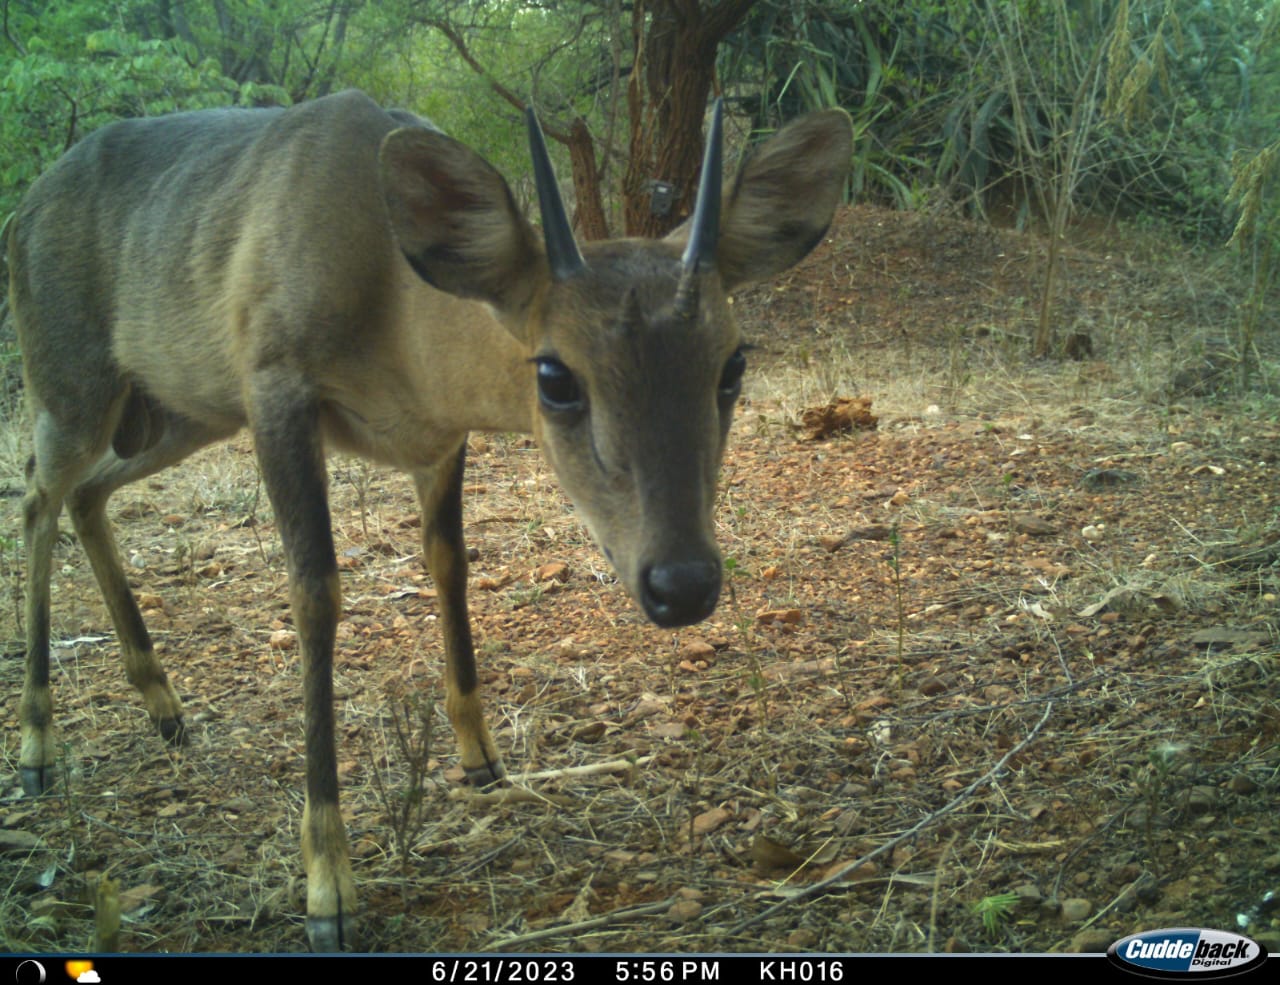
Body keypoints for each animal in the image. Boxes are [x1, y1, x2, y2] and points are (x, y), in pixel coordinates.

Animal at [10, 88, 855, 946]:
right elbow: (314, 590)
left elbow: (450, 565)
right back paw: (38, 745)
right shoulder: (274, 380)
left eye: (733, 362)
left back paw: (165, 707)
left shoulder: (436, 441)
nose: (681, 582)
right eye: (555, 375)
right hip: (73, 382)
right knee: (37, 497)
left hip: (175, 411)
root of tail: (27, 205)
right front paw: (329, 885)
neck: (394, 312)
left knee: (87, 493)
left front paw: (481, 756)